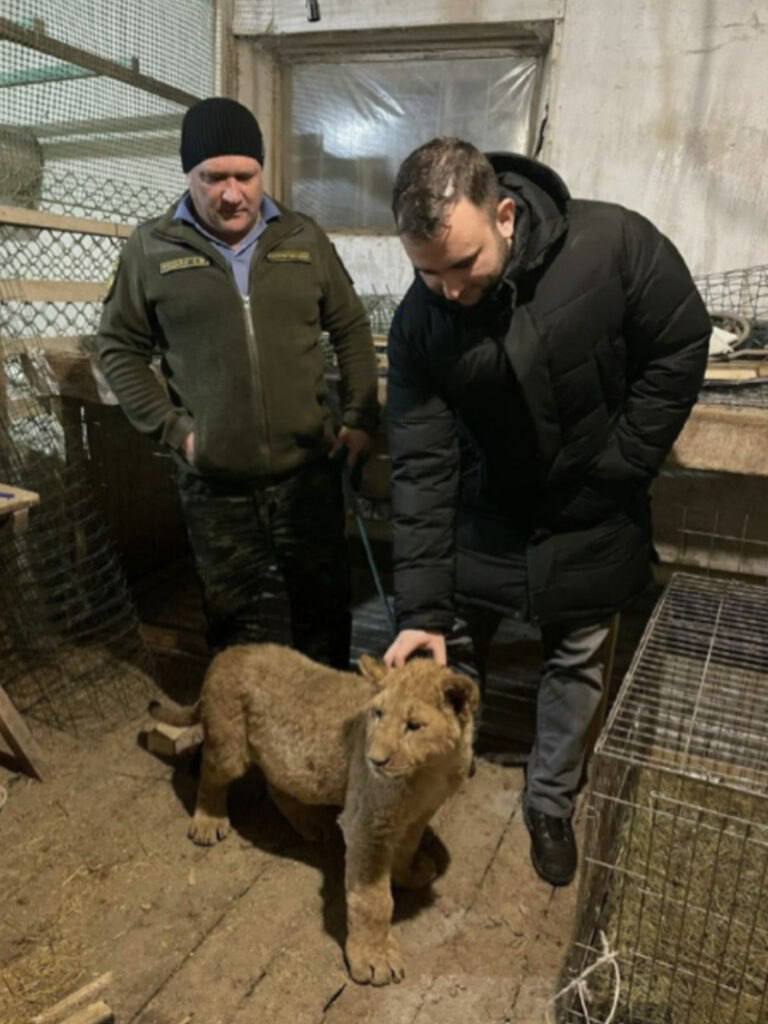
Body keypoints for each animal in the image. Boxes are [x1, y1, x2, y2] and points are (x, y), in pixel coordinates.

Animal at [148, 643, 481, 987]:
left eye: (414, 726)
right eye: (377, 714)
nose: (374, 760)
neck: (431, 771)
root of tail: (227, 652)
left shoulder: (417, 816)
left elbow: (407, 849)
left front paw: (409, 873)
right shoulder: (367, 825)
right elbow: (372, 900)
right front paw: (374, 957)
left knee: (277, 784)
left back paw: (310, 824)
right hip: (228, 746)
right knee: (210, 775)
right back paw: (208, 821)